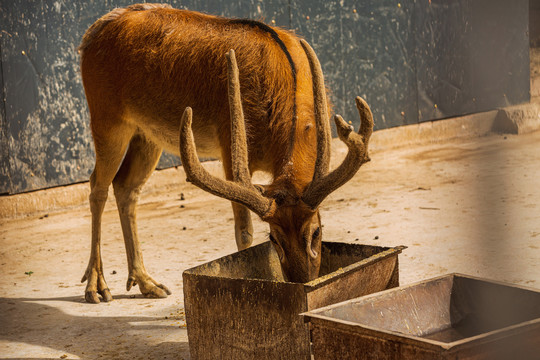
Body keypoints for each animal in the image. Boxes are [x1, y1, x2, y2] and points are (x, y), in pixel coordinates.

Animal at [80, 4, 374, 304]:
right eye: (273, 239)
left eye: (316, 232)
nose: (303, 281)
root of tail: (92, 33)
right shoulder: (228, 144)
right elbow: (244, 234)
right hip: (106, 116)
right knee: (97, 186)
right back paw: (97, 286)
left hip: (147, 134)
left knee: (126, 187)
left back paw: (147, 283)